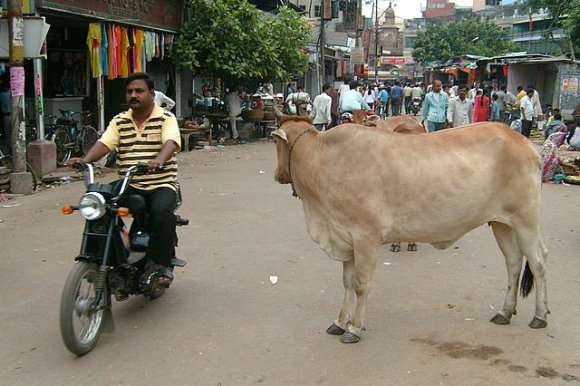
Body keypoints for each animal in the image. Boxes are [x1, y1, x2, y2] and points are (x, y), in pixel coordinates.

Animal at [272, 117, 548, 344]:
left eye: (275, 143)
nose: (276, 174)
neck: (325, 160)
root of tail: (523, 141)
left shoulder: (365, 238)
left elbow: (361, 284)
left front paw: (354, 328)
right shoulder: (346, 239)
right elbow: (347, 283)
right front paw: (340, 322)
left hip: (526, 221)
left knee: (538, 262)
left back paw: (540, 316)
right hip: (502, 224)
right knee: (513, 262)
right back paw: (505, 312)